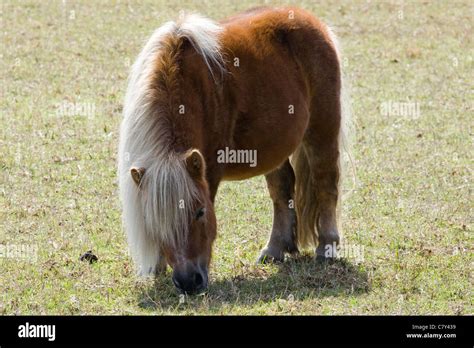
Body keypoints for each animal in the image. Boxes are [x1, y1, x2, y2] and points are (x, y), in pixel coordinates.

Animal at [117, 6, 352, 294]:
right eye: (153, 221)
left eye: (200, 212)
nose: (189, 281)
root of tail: (309, 19)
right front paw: (158, 267)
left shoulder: (210, 169)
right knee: (282, 191)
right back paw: (274, 250)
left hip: (322, 131)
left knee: (326, 185)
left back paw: (326, 248)